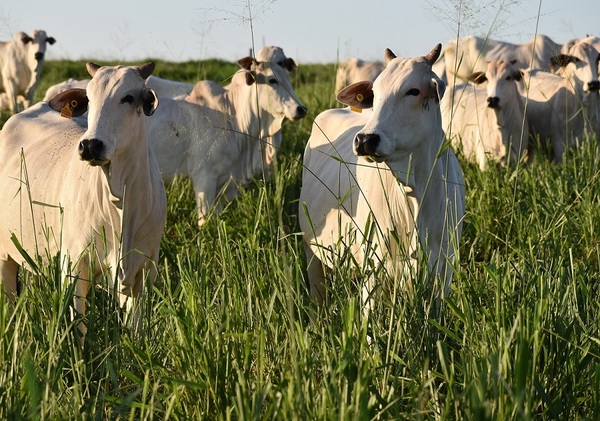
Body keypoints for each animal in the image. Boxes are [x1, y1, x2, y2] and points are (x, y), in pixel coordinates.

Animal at [0, 61, 166, 338]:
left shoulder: (144, 270)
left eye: (128, 97)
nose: (90, 145)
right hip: (5, 254)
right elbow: (78, 328)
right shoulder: (74, 265)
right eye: (89, 98)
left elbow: (136, 328)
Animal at [298, 46, 464, 314]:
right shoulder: (374, 268)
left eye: (413, 90)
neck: (414, 193)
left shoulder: (443, 270)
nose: (365, 139)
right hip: (311, 249)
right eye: (374, 94)